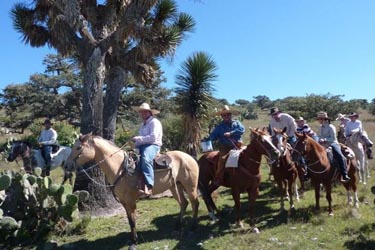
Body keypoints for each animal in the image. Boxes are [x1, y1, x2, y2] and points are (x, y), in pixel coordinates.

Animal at [64, 135, 200, 250]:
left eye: (78, 147)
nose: (66, 166)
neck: (120, 168)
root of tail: (189, 157)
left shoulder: (130, 201)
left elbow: (133, 221)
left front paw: (134, 242)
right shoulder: (124, 202)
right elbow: (130, 221)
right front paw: (131, 240)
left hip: (190, 186)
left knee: (195, 203)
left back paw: (193, 228)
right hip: (175, 186)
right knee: (184, 203)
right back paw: (177, 227)